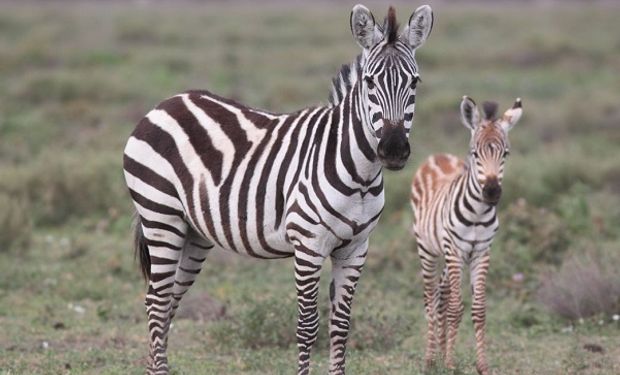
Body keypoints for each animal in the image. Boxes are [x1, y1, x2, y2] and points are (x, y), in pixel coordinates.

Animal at [123, 3, 434, 375]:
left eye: (414, 82)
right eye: (370, 82)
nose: (394, 149)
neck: (360, 176)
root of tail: (167, 103)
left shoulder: (356, 248)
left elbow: (341, 325)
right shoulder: (308, 245)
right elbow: (308, 325)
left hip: (192, 232)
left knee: (168, 301)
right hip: (161, 217)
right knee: (156, 302)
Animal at [412, 96, 524, 374]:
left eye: (505, 153)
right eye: (475, 153)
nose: (492, 192)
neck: (477, 214)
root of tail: (437, 156)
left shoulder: (482, 252)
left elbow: (478, 309)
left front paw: (481, 364)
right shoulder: (455, 250)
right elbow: (455, 308)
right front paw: (451, 363)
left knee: (441, 294)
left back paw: (440, 354)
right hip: (428, 249)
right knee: (430, 298)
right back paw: (430, 359)